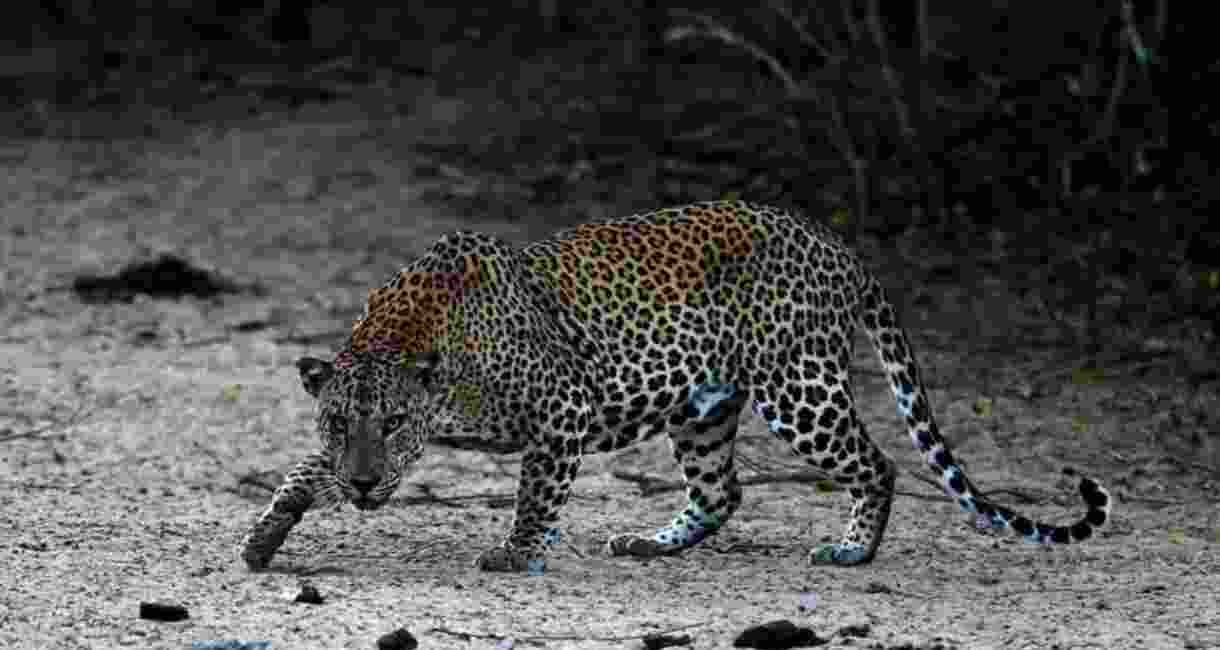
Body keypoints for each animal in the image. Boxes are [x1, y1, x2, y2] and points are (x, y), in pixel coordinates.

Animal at [239, 200, 1111, 573]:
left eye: (393, 423)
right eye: (341, 423)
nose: (364, 483)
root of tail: (839, 247)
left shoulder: (562, 411)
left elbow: (533, 495)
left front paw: (517, 554)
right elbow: (300, 473)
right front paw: (267, 532)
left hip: (800, 388)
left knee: (880, 464)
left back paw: (853, 549)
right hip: (704, 407)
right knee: (722, 490)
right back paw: (652, 542)